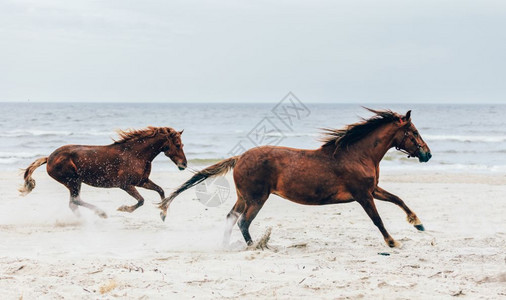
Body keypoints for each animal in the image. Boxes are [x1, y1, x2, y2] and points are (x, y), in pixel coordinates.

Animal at [19, 126, 188, 218]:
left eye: (182, 144)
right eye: (177, 144)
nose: (184, 164)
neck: (136, 154)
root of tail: (49, 158)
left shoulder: (142, 181)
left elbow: (161, 191)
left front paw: (163, 213)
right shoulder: (126, 185)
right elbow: (141, 200)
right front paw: (123, 208)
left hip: (74, 183)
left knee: (73, 203)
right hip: (73, 181)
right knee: (75, 201)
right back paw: (100, 214)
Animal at [161, 110, 430, 248]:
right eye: (414, 132)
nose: (427, 154)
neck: (356, 154)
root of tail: (239, 158)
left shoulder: (372, 189)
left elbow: (398, 199)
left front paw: (418, 223)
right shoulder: (363, 195)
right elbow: (377, 219)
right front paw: (393, 242)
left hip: (244, 197)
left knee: (231, 217)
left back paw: (226, 246)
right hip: (257, 199)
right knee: (244, 222)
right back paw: (256, 246)